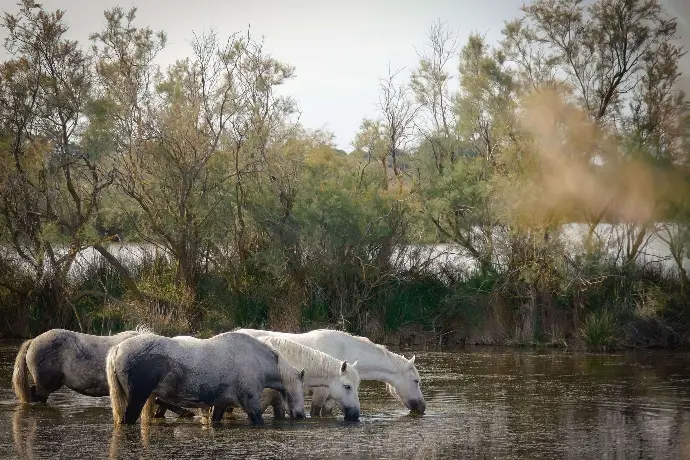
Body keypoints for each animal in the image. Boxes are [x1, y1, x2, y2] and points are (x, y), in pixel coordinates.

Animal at [105, 330, 304, 424]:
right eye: (295, 391)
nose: (301, 415)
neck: (255, 359)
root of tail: (118, 349)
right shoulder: (251, 405)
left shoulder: (221, 404)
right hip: (137, 399)